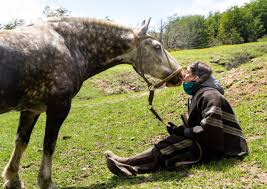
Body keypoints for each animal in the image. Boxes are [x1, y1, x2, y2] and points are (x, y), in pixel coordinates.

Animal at [0, 17, 182, 188]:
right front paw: (46, 182)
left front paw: (12, 179)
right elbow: (49, 144)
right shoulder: (58, 107)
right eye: (157, 47)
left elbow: (21, 142)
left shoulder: (32, 109)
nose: (180, 74)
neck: (68, 45)